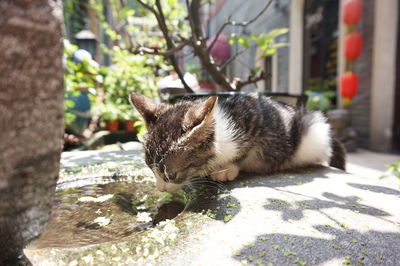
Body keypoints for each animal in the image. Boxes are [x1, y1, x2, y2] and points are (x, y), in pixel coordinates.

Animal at [130, 92, 346, 192]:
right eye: (150, 169)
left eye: (172, 175)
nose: (160, 188)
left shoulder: (257, 123)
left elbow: (246, 150)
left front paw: (228, 168)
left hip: (313, 134)